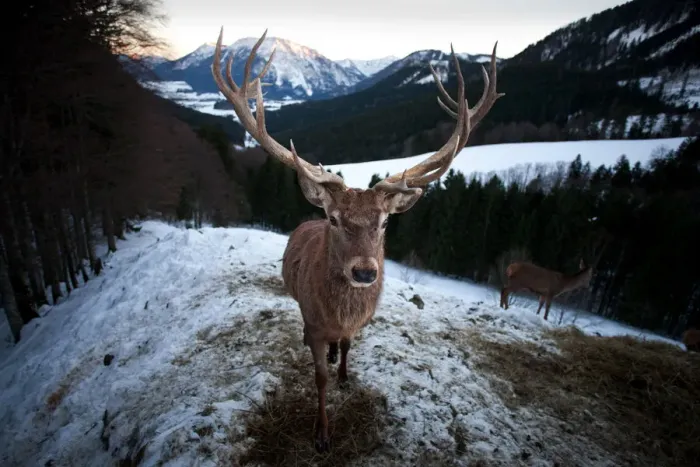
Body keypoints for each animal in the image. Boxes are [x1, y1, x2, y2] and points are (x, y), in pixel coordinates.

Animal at [211, 27, 504, 452]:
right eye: (333, 218)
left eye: (384, 222)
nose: (365, 272)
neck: (339, 314)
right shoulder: (314, 321)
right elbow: (318, 377)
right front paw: (322, 434)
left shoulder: (354, 327)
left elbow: (348, 347)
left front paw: (346, 375)